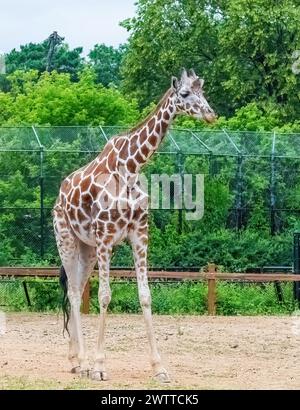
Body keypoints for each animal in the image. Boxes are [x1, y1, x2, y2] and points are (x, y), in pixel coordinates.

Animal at [52, 68, 216, 384]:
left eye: (203, 91)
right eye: (185, 93)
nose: (211, 115)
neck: (132, 166)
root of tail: (59, 195)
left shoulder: (139, 235)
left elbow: (145, 296)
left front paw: (159, 368)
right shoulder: (105, 238)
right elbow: (104, 296)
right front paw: (100, 366)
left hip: (86, 248)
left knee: (76, 289)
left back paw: (76, 361)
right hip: (65, 238)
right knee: (74, 293)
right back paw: (83, 361)